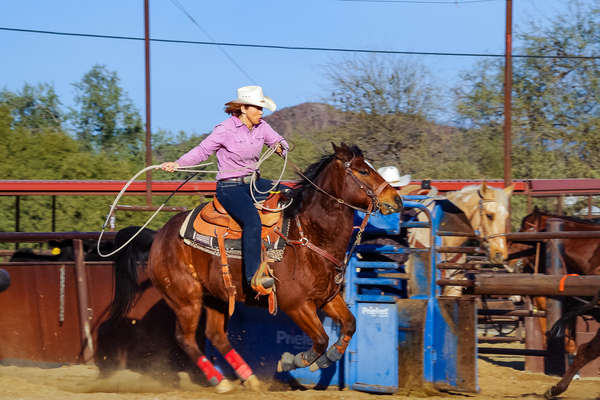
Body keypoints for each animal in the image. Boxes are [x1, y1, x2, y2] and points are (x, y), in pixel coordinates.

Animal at [103, 143, 404, 390]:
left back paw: (249, 378)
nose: (396, 199)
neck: (307, 236)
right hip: (187, 298)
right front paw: (291, 361)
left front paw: (325, 360)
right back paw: (219, 381)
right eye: (363, 171)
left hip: (216, 297)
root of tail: (159, 236)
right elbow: (320, 339)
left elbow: (350, 325)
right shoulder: (297, 305)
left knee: (216, 335)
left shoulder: (327, 299)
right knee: (186, 338)